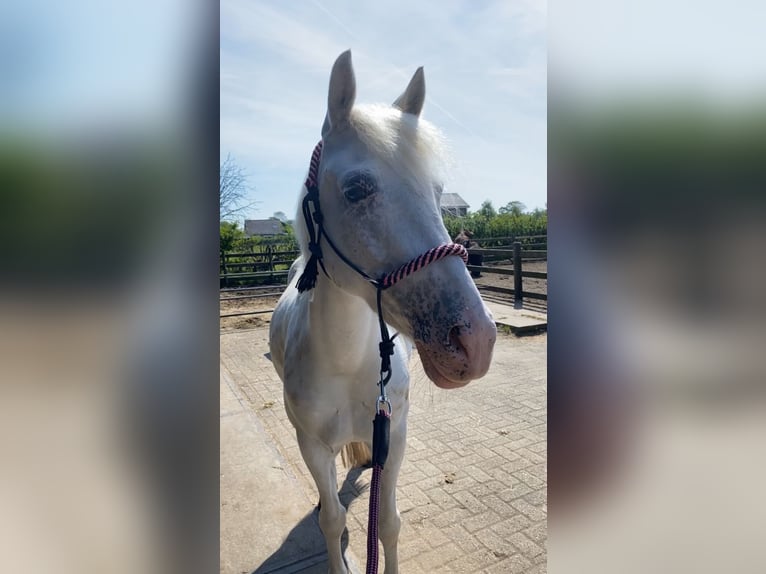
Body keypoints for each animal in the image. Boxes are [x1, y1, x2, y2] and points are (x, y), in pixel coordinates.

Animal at [270, 50, 498, 574]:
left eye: (437, 191)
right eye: (356, 190)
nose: (475, 341)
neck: (347, 363)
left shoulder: (394, 438)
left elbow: (388, 524)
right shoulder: (310, 443)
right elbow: (333, 522)